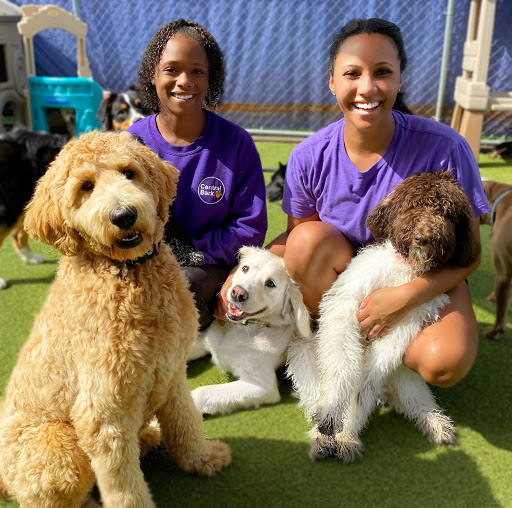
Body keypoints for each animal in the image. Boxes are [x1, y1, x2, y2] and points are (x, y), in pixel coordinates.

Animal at [188, 246, 308, 416]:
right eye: (245, 268)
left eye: (270, 283)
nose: (238, 293)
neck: (243, 329)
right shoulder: (203, 341)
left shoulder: (262, 385)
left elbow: (201, 393)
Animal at [288, 173, 480, 462]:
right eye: (414, 205)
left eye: (446, 213)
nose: (423, 237)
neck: (405, 271)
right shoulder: (346, 303)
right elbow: (343, 369)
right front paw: (332, 417)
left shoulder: (405, 323)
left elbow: (362, 389)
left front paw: (346, 433)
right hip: (303, 354)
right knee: (316, 397)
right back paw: (321, 437)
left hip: (405, 376)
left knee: (413, 401)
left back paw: (433, 423)